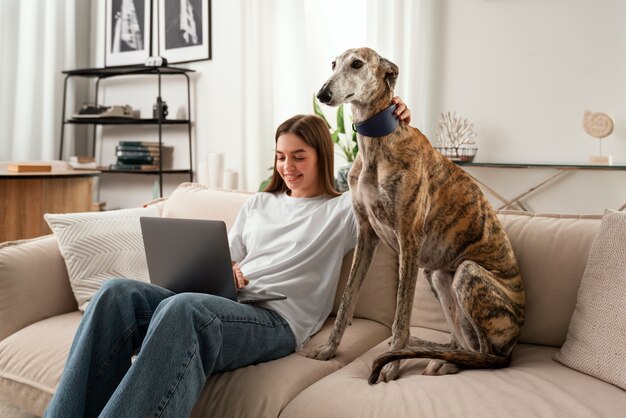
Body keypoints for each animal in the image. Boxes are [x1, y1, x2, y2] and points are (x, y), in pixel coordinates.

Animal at [304, 47, 524, 384]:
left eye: (357, 64)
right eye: (333, 64)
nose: (322, 94)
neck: (377, 144)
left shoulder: (409, 239)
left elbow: (402, 316)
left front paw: (391, 368)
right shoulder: (366, 234)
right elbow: (347, 300)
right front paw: (328, 349)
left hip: (466, 274)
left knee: (487, 356)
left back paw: (444, 362)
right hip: (438, 277)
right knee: (464, 343)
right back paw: (438, 356)